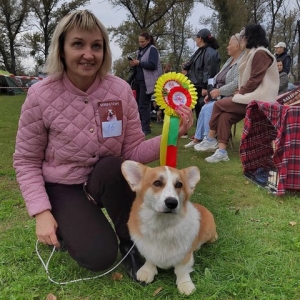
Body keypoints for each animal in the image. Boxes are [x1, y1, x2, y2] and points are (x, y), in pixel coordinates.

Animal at [120, 162, 217, 296]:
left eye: (179, 184)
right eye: (157, 183)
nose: (172, 203)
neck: (162, 226)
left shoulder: (185, 255)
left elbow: (181, 270)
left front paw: (185, 284)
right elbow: (150, 259)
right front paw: (147, 271)